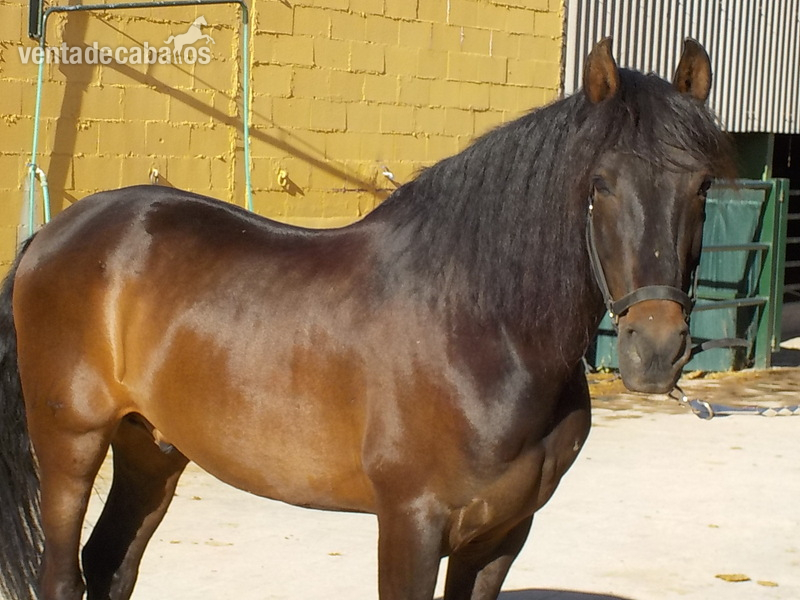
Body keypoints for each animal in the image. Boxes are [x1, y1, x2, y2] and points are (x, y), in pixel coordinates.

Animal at [0, 38, 733, 600]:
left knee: (110, 565)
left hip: (152, 449)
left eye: (702, 185)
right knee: (63, 575)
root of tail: (52, 235)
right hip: (71, 443)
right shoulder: (411, 524)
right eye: (600, 184)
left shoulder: (501, 536)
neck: (481, 331)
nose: (654, 350)